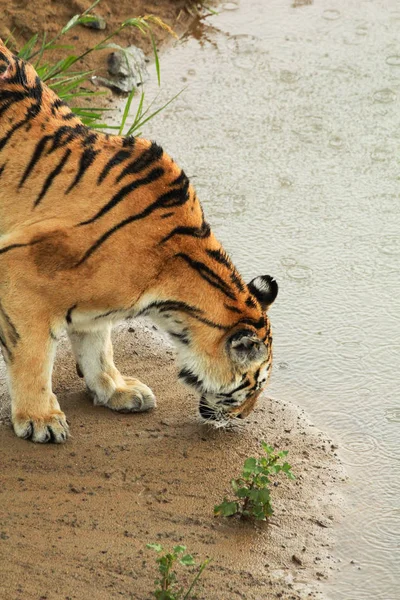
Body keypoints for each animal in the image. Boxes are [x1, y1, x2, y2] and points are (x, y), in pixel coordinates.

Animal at [0, 37, 276, 440]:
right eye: (253, 386)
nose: (244, 418)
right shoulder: (23, 277)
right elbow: (34, 357)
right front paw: (41, 420)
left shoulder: (94, 301)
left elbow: (98, 346)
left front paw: (115, 391)